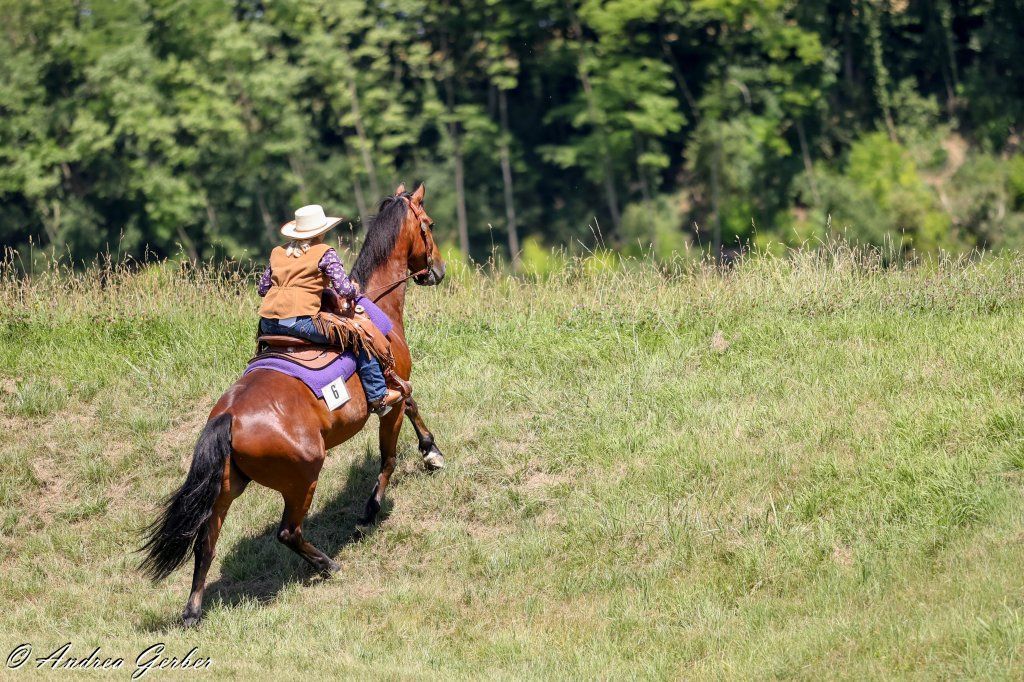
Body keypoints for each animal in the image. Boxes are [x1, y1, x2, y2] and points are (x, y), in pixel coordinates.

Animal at [140, 183, 447, 627]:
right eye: (430, 225)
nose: (438, 270)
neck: (375, 305)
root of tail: (227, 418)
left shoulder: (396, 385)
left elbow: (410, 404)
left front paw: (429, 452)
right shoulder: (388, 397)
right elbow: (392, 445)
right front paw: (376, 506)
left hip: (226, 489)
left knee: (205, 544)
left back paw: (193, 611)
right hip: (302, 476)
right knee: (288, 531)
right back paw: (328, 565)